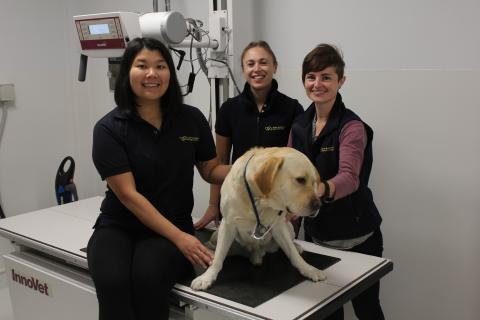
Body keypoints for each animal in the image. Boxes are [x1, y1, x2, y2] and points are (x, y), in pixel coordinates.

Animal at [191, 146, 326, 292]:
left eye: (315, 183)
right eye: (300, 180)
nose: (318, 205)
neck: (259, 201)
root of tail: (257, 253)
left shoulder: (279, 226)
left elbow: (293, 254)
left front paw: (309, 269)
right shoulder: (227, 225)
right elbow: (218, 258)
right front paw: (207, 277)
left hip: (288, 227)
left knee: (288, 245)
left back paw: (297, 246)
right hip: (217, 234)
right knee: (218, 249)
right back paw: (209, 251)